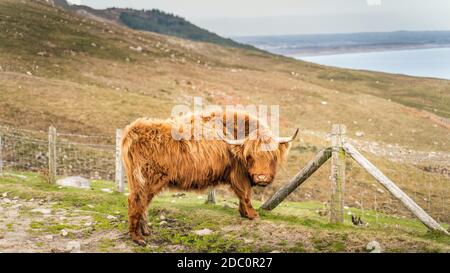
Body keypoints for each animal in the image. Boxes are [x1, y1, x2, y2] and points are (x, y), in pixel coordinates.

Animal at [121, 110, 300, 244]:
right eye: (250, 156)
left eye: (272, 155)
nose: (261, 177)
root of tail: (133, 129)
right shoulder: (239, 174)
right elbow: (245, 194)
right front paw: (252, 215)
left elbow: (243, 196)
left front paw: (244, 213)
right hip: (147, 178)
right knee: (136, 201)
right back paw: (137, 238)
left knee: (142, 202)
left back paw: (145, 232)